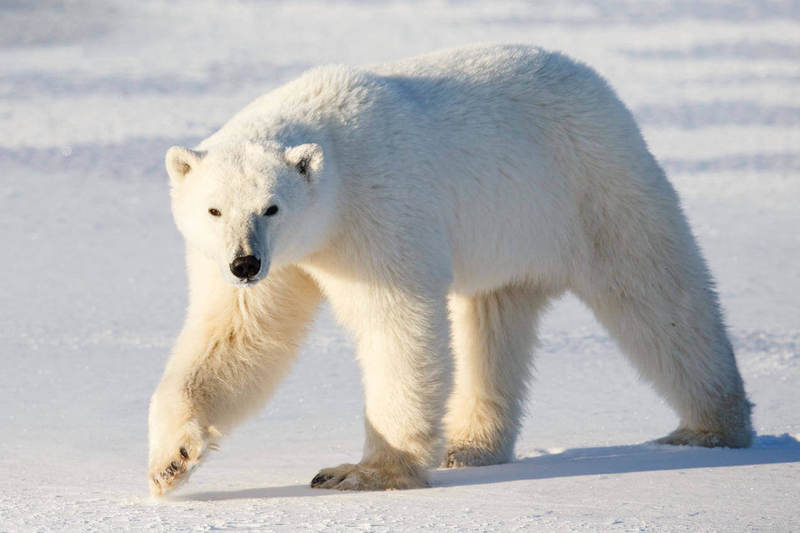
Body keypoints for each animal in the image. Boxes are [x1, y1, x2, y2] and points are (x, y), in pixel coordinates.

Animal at [147, 44, 752, 494]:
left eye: (272, 206)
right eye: (214, 209)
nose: (245, 262)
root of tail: (593, 80)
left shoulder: (378, 211)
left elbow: (397, 325)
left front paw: (362, 472)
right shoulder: (277, 261)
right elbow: (236, 337)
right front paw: (171, 460)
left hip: (593, 184)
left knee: (657, 294)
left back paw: (710, 427)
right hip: (509, 238)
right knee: (492, 323)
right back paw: (470, 445)